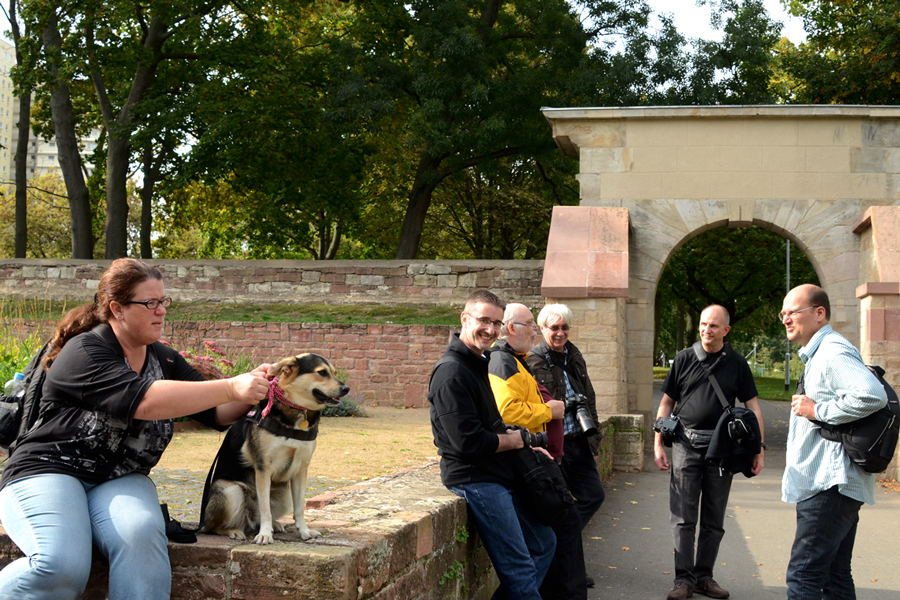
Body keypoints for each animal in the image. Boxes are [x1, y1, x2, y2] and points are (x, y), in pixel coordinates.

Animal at [200, 354, 352, 548]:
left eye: (334, 372)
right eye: (322, 372)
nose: (346, 389)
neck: (296, 409)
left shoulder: (301, 470)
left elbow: (300, 508)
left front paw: (304, 532)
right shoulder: (263, 468)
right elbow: (265, 508)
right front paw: (265, 534)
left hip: (284, 495)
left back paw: (276, 524)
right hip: (230, 491)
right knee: (213, 527)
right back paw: (233, 530)